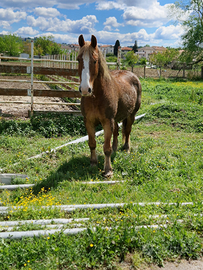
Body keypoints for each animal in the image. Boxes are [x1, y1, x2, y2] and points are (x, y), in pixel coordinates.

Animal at [77, 34, 142, 177]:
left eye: (95, 61)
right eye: (78, 59)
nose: (85, 89)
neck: (96, 97)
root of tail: (133, 75)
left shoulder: (107, 122)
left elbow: (106, 147)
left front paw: (108, 170)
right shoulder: (88, 121)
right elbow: (92, 143)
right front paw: (93, 163)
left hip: (131, 114)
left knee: (127, 131)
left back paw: (126, 149)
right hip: (116, 118)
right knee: (117, 131)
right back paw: (116, 148)